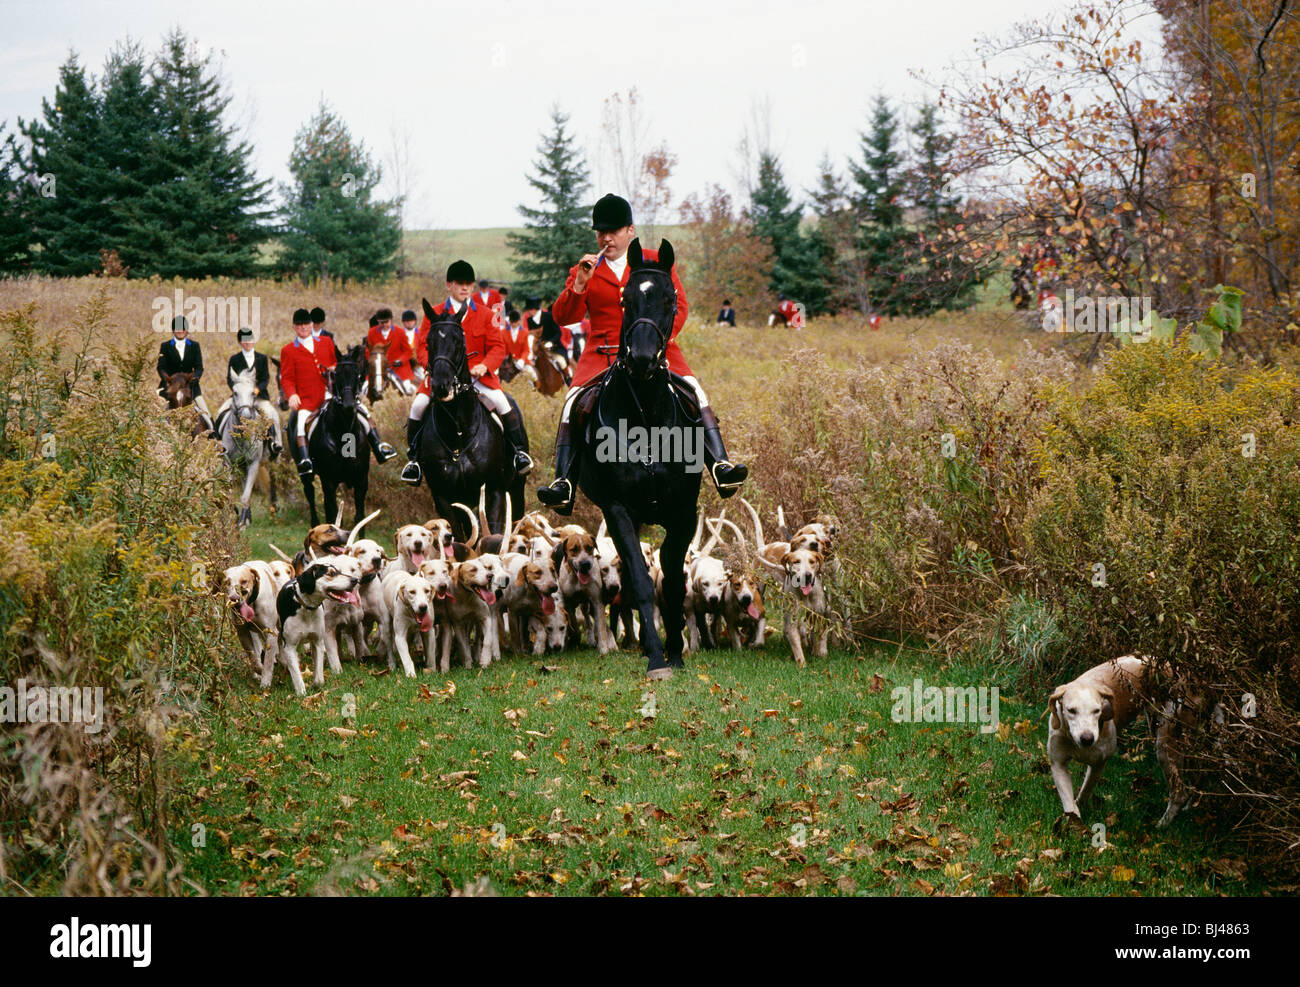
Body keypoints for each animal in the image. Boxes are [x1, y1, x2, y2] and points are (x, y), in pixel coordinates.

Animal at [218, 369, 276, 525]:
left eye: (253, 393)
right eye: (235, 392)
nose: (246, 416)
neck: (242, 435)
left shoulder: (253, 464)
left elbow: (245, 496)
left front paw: (243, 523)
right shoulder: (229, 463)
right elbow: (231, 492)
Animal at [300, 348, 371, 533]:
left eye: (358, 375)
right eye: (337, 374)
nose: (348, 404)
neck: (344, 433)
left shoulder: (361, 480)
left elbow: (360, 518)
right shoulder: (329, 481)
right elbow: (332, 516)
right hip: (308, 475)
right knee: (311, 495)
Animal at [413, 301, 520, 540]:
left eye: (458, 340)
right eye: (428, 342)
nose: (441, 385)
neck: (458, 431)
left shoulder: (494, 491)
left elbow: (493, 534)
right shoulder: (444, 497)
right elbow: (460, 538)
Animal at [579, 239, 702, 681]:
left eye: (670, 298)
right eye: (625, 299)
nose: (644, 359)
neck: (647, 414)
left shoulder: (684, 510)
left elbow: (674, 579)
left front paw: (676, 650)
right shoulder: (618, 510)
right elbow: (643, 580)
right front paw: (656, 658)